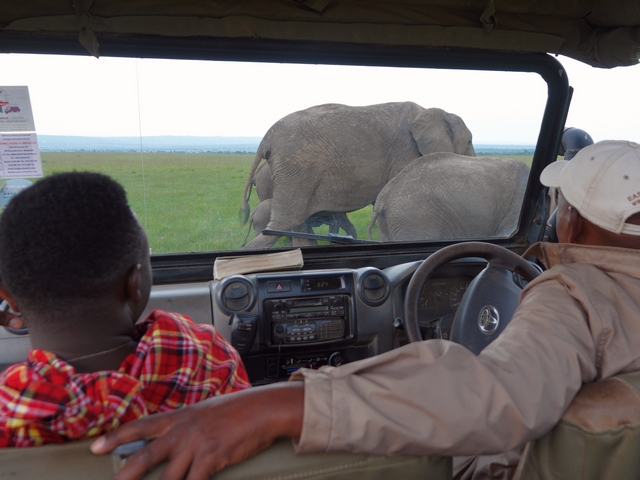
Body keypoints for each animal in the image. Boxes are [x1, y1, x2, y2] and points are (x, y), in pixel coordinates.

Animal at [241, 102, 475, 249]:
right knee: (282, 224)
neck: (430, 111)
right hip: (295, 169)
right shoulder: (406, 153)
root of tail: (267, 137)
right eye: (470, 141)